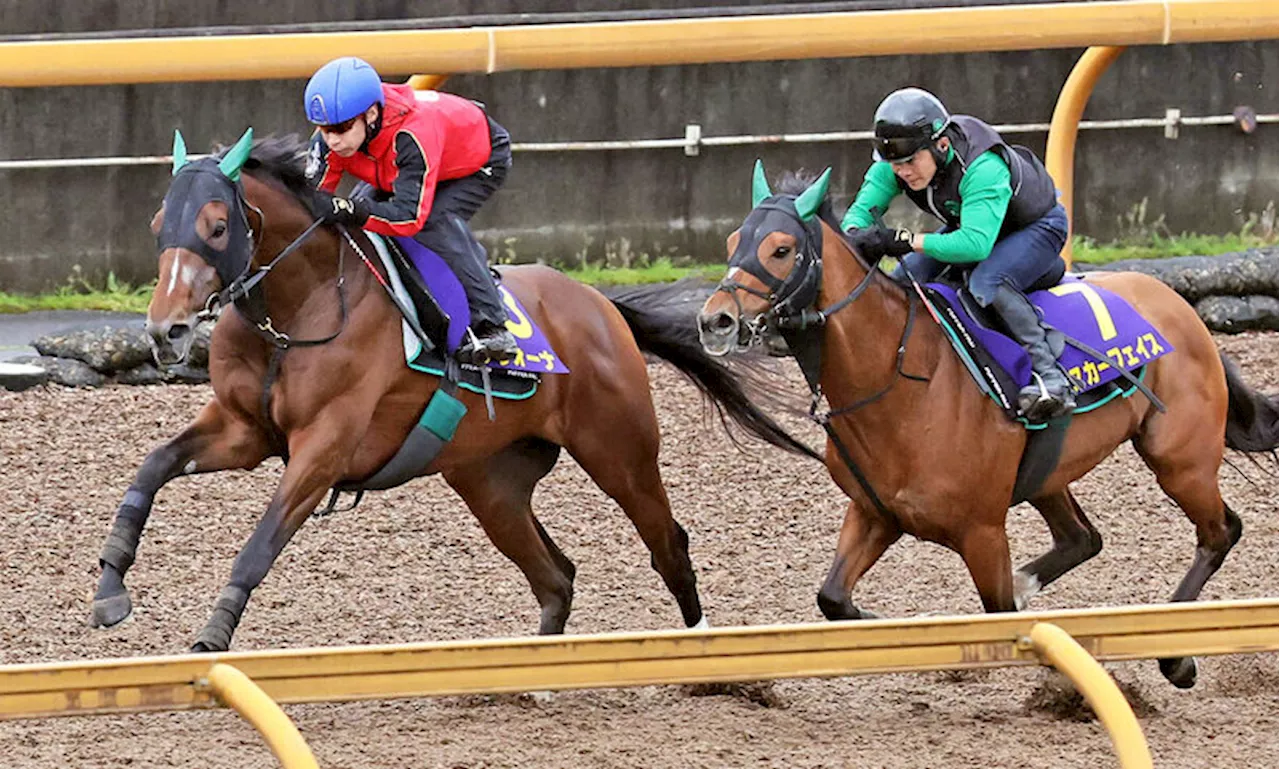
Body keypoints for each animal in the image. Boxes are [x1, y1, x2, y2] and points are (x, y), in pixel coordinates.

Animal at [90, 130, 814, 647]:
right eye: (159, 224)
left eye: (217, 225)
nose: (167, 328)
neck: (300, 308)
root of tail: (600, 306)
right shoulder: (245, 430)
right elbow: (152, 466)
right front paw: (109, 589)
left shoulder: (322, 449)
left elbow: (261, 541)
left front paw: (211, 635)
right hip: (490, 480)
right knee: (556, 575)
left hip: (620, 452)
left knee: (669, 545)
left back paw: (706, 659)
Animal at [701, 163, 1280, 690]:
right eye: (733, 241)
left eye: (781, 249)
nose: (714, 321)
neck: (902, 379)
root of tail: (1183, 308)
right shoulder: (874, 512)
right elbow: (833, 598)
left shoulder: (981, 531)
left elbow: (999, 612)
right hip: (1051, 473)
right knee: (1083, 537)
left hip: (1179, 459)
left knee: (1220, 531)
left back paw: (1175, 656)